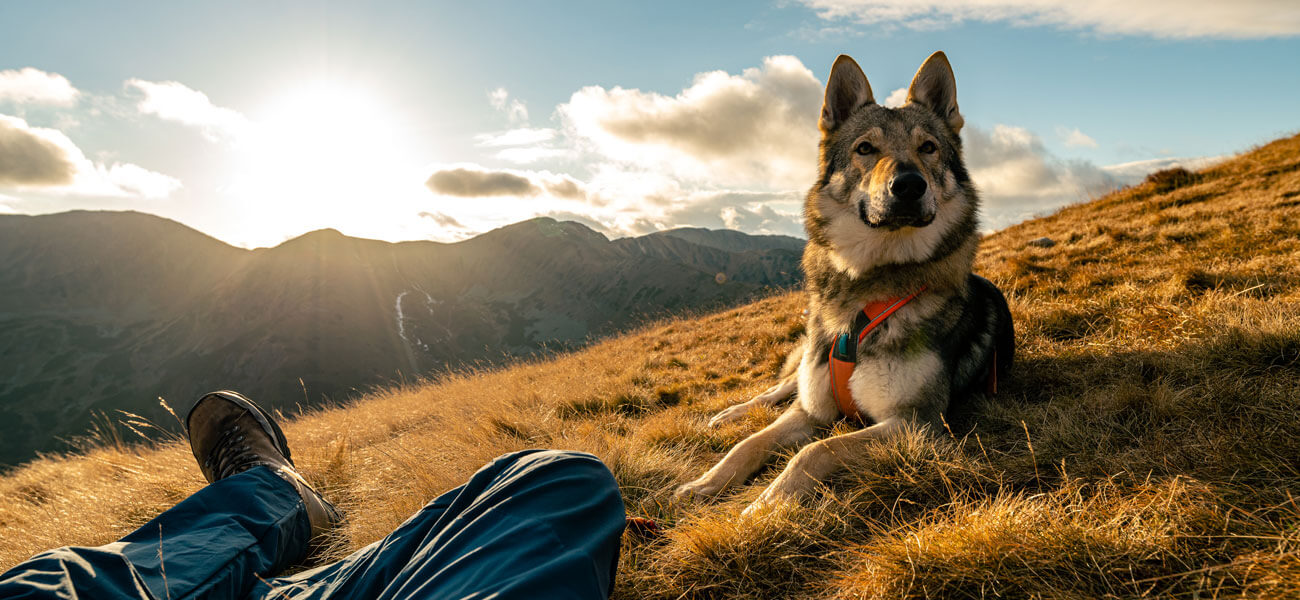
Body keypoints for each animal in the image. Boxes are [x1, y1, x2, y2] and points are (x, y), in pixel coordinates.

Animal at [676, 50, 1019, 511]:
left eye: (928, 148)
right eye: (865, 149)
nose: (909, 185)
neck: (866, 291)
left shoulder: (915, 424)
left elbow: (814, 450)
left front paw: (763, 508)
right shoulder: (812, 410)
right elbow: (750, 443)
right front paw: (707, 483)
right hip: (803, 370)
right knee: (777, 389)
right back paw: (731, 412)